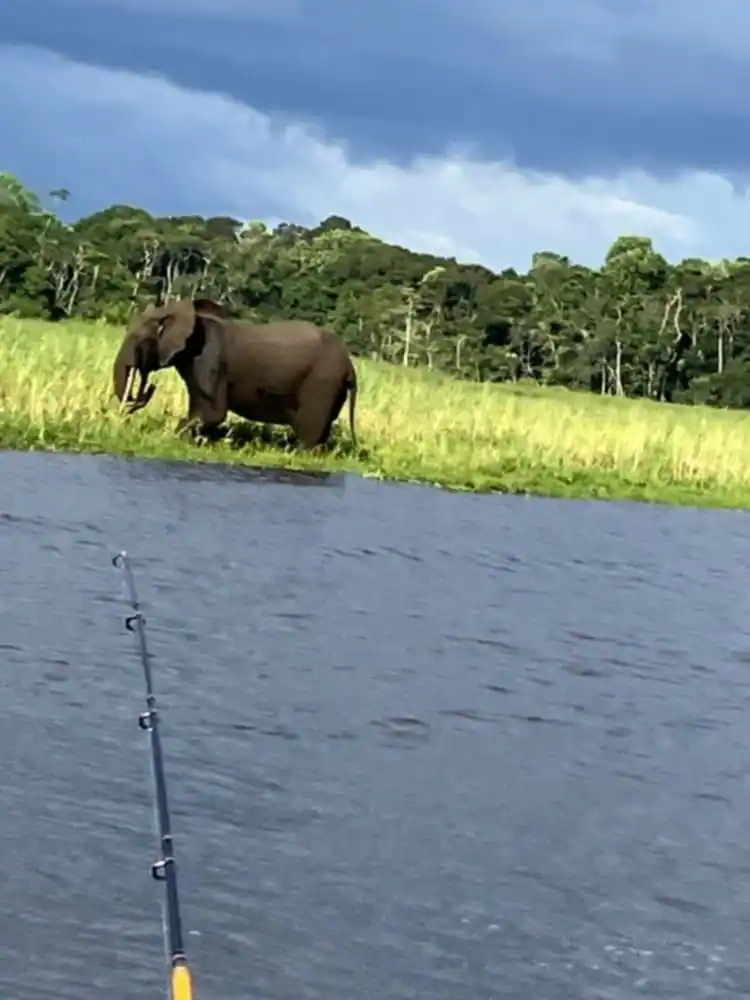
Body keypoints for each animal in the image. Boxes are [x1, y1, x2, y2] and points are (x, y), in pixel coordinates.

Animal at [112, 297, 358, 450]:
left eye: (138, 340)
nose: (149, 387)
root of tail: (350, 365)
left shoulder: (209, 358)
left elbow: (212, 413)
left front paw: (172, 438)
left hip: (322, 382)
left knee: (309, 427)